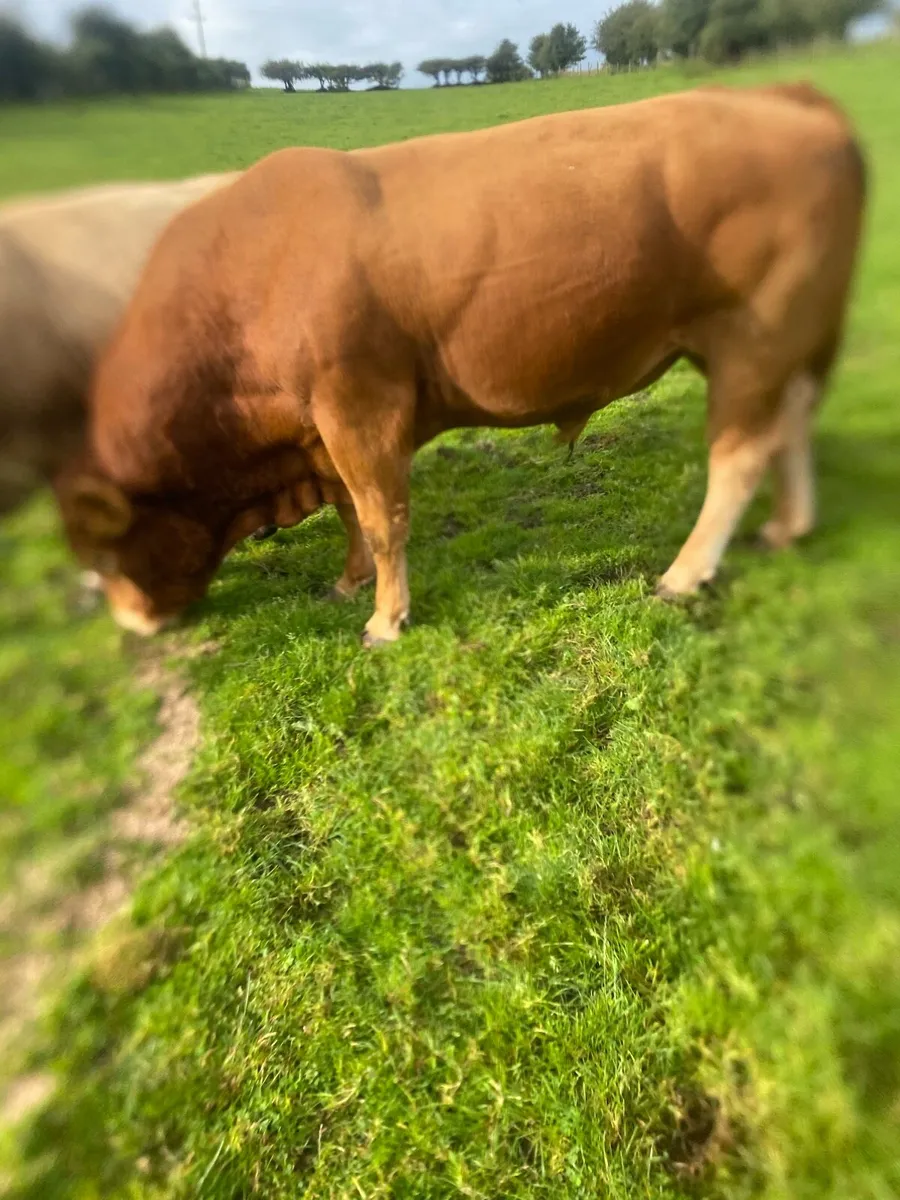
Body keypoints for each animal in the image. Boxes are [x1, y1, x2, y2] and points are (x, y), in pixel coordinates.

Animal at [55, 83, 866, 643]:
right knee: (794, 423)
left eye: (108, 554)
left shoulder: (359, 404)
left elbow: (382, 515)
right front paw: (349, 583)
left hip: (752, 339)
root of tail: (780, 95)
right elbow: (351, 510)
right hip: (785, 342)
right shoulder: (324, 428)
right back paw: (788, 528)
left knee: (740, 456)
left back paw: (684, 573)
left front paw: (386, 619)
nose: (133, 628)